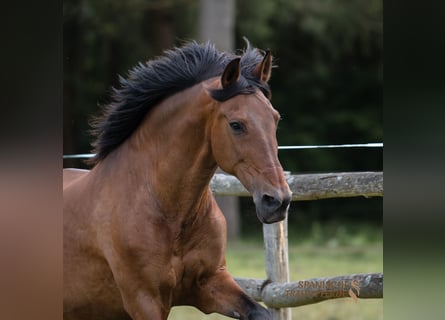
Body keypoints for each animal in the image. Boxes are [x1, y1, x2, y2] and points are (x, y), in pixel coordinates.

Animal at [63, 40, 292, 320]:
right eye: (236, 125)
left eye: (275, 118)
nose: (277, 201)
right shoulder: (144, 300)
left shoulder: (212, 283)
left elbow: (261, 313)